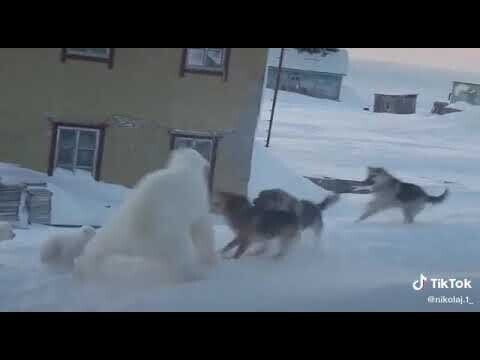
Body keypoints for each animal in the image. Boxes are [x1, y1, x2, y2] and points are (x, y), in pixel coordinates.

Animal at [74, 148, 217, 286]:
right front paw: (210, 259)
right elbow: (203, 227)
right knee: (182, 254)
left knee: (103, 242)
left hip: (123, 225)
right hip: (168, 230)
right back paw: (196, 275)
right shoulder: (198, 204)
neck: (185, 166)